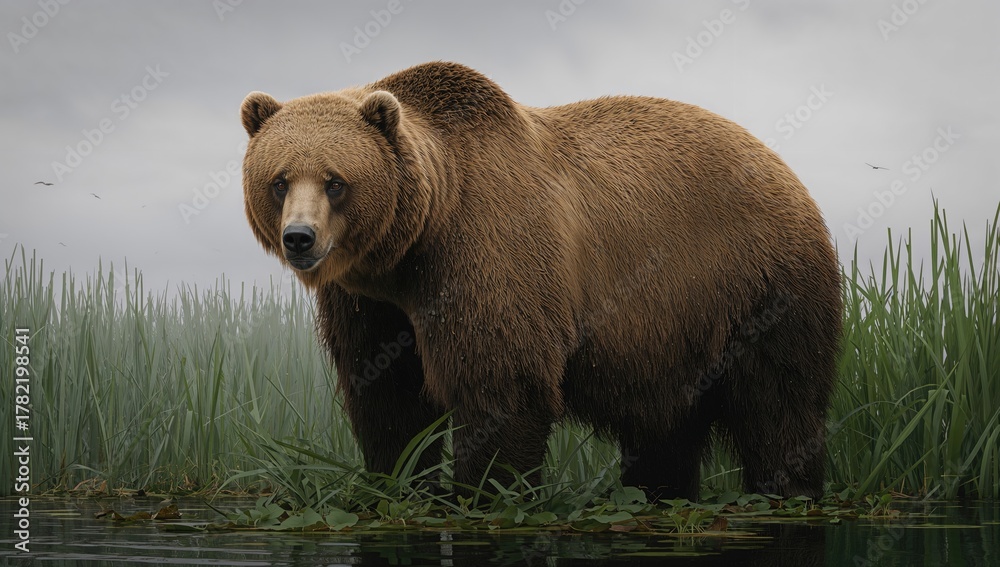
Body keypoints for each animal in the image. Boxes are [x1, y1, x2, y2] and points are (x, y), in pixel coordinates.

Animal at [240, 61, 842, 501]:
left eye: (335, 181)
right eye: (279, 179)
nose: (300, 238)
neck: (414, 246)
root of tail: (784, 167)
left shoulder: (487, 252)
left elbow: (503, 381)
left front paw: (485, 490)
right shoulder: (369, 303)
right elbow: (387, 395)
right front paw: (397, 481)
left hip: (754, 284)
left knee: (779, 402)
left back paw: (789, 489)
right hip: (671, 331)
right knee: (663, 427)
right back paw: (661, 493)